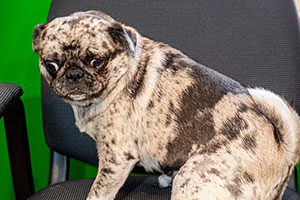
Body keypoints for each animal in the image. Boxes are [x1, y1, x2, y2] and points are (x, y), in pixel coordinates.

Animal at [32, 10, 300, 199]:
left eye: (97, 61)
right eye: (51, 65)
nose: (74, 75)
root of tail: (282, 148)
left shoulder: (116, 158)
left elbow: (98, 191)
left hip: (194, 179)